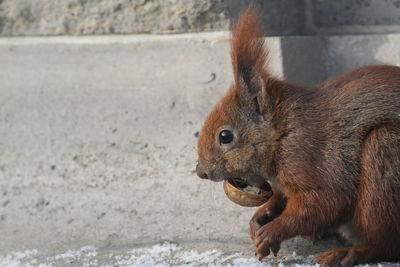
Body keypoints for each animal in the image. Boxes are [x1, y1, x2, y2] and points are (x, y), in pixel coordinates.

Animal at [195, 4, 400, 267]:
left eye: (225, 136)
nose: (201, 171)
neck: (283, 130)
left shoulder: (311, 154)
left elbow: (326, 201)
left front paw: (272, 232)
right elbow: (282, 199)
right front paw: (259, 218)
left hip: (384, 153)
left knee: (387, 246)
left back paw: (351, 252)